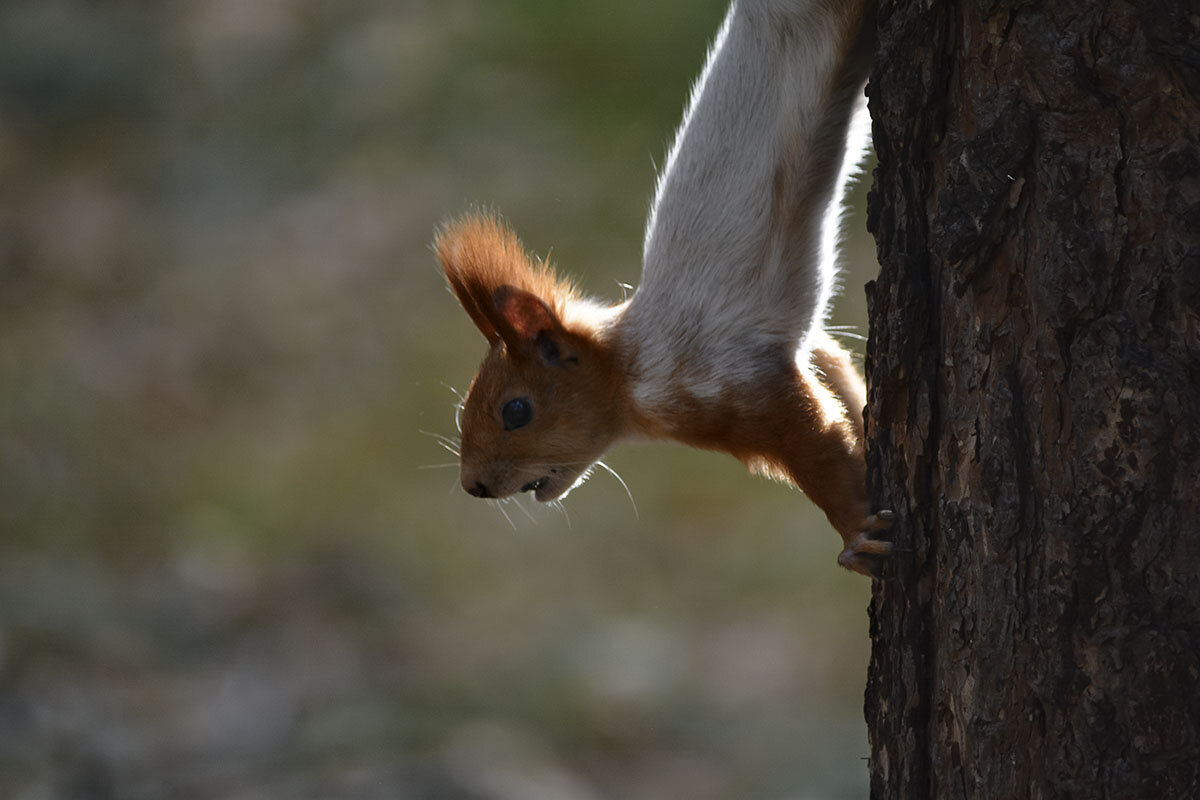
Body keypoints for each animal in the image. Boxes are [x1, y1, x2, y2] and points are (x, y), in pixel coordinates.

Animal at [432, 0, 892, 575]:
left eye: (516, 411)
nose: (472, 485)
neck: (631, 369)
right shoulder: (806, 348)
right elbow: (839, 380)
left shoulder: (734, 381)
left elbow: (819, 440)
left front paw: (857, 537)